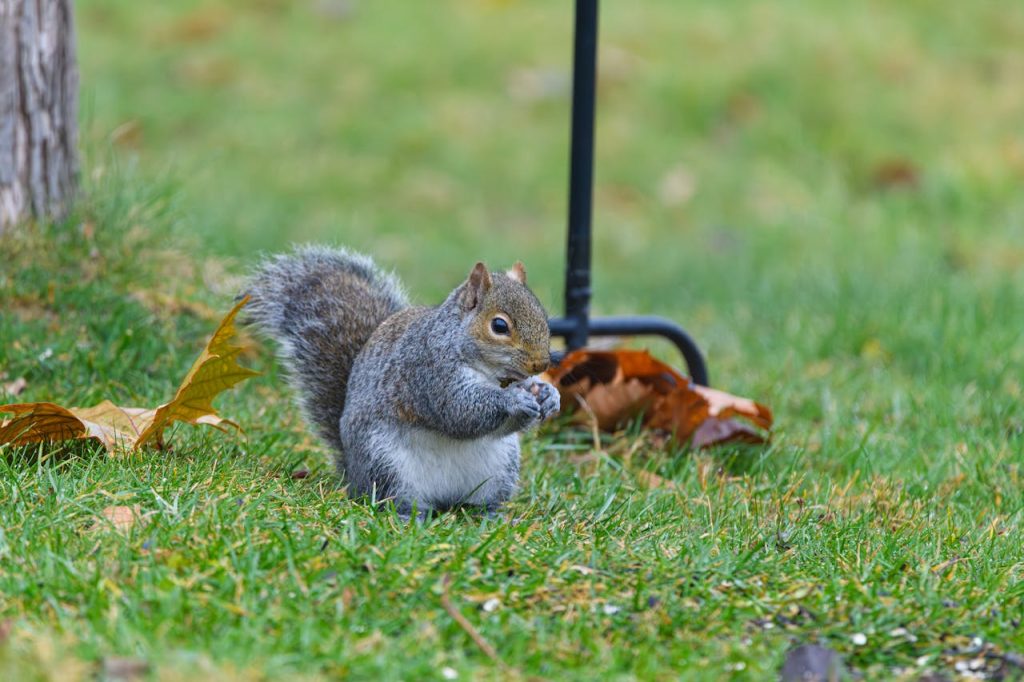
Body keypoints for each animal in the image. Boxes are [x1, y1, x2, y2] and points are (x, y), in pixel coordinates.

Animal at [243, 245, 560, 515]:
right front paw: (513, 400)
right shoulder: (427, 371)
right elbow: (460, 412)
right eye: (499, 326)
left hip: (499, 470)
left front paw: (548, 394)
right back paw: (411, 516)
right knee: (395, 500)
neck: (492, 374)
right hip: (386, 465)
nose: (541, 364)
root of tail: (353, 475)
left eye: (543, 315)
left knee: (478, 502)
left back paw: (490, 515)